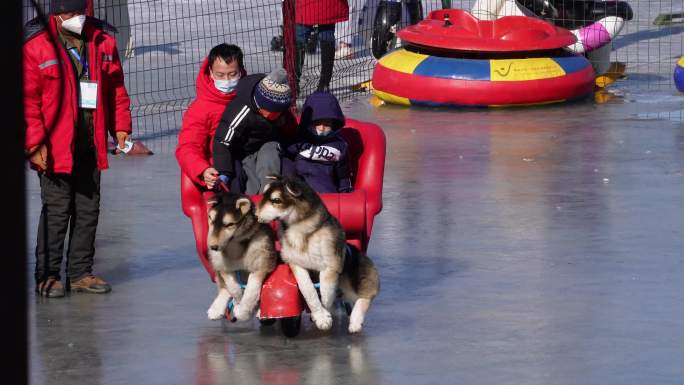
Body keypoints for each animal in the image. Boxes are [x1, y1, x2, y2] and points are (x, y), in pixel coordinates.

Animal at [206, 191, 278, 320]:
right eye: (211, 220)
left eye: (229, 224)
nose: (213, 247)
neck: (234, 244)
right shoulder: (223, 267)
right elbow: (232, 287)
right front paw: (238, 300)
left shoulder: (261, 263)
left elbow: (251, 290)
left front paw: (243, 311)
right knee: (223, 287)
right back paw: (216, 308)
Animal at [256, 176, 380, 332]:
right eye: (264, 195)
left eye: (276, 200)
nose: (255, 215)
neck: (301, 230)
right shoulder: (297, 265)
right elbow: (308, 290)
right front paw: (320, 315)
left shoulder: (331, 265)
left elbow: (327, 291)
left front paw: (324, 313)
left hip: (352, 277)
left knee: (365, 296)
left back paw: (355, 321)